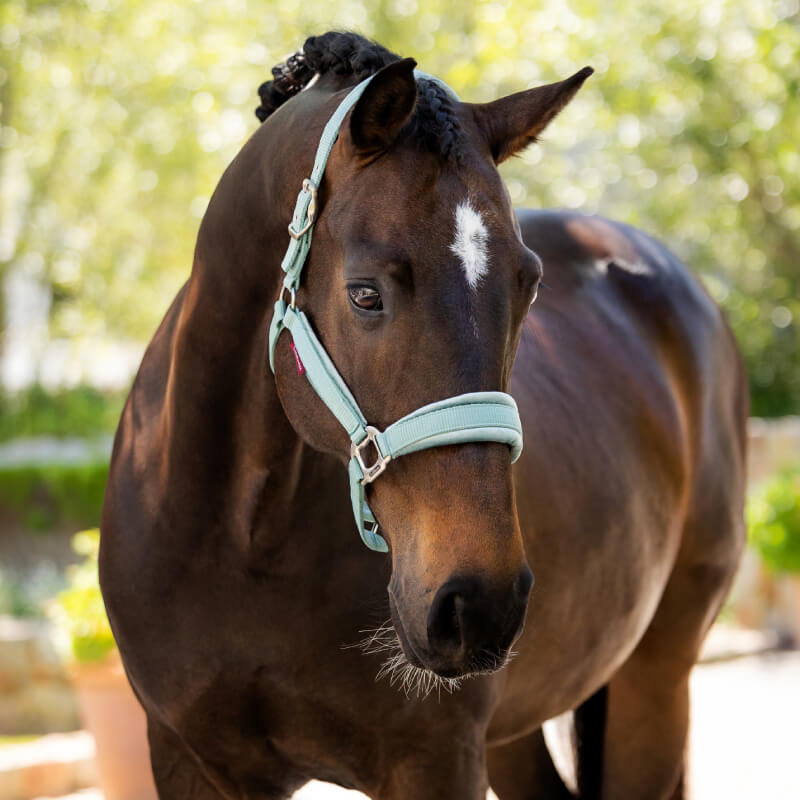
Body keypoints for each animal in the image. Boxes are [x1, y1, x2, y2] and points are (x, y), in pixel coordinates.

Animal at [101, 31, 752, 800]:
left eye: (529, 286)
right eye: (364, 294)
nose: (478, 602)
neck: (240, 539)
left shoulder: (435, 759)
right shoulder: (188, 757)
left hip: (655, 679)